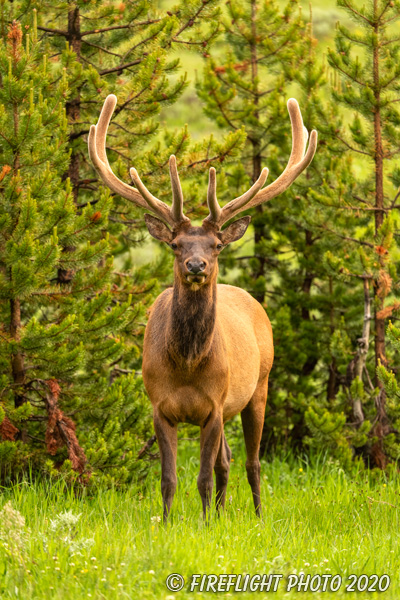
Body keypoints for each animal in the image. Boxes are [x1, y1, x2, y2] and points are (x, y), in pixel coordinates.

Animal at [89, 95, 318, 520]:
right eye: (176, 244)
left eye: (217, 245)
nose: (196, 266)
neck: (187, 364)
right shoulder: (160, 407)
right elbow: (169, 479)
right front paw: (168, 524)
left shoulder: (213, 407)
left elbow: (204, 478)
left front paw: (207, 524)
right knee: (227, 459)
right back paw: (225, 512)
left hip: (258, 386)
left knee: (251, 462)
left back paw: (257, 517)